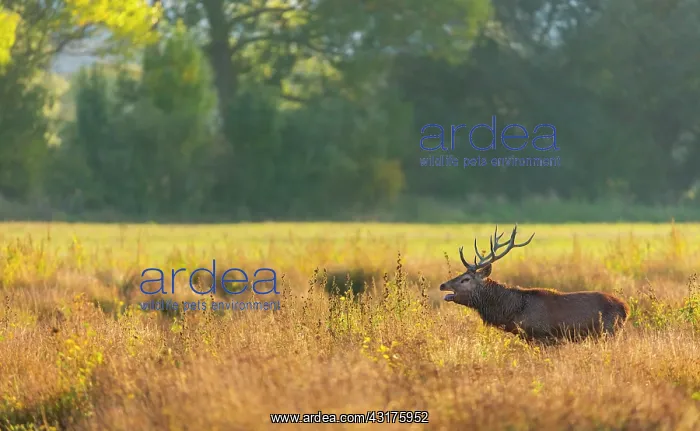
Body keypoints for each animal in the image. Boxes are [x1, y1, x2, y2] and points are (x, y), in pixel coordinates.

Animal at [439, 224, 629, 343]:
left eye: (465, 279)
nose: (442, 285)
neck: (513, 313)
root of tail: (625, 308)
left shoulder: (543, 336)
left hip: (608, 331)